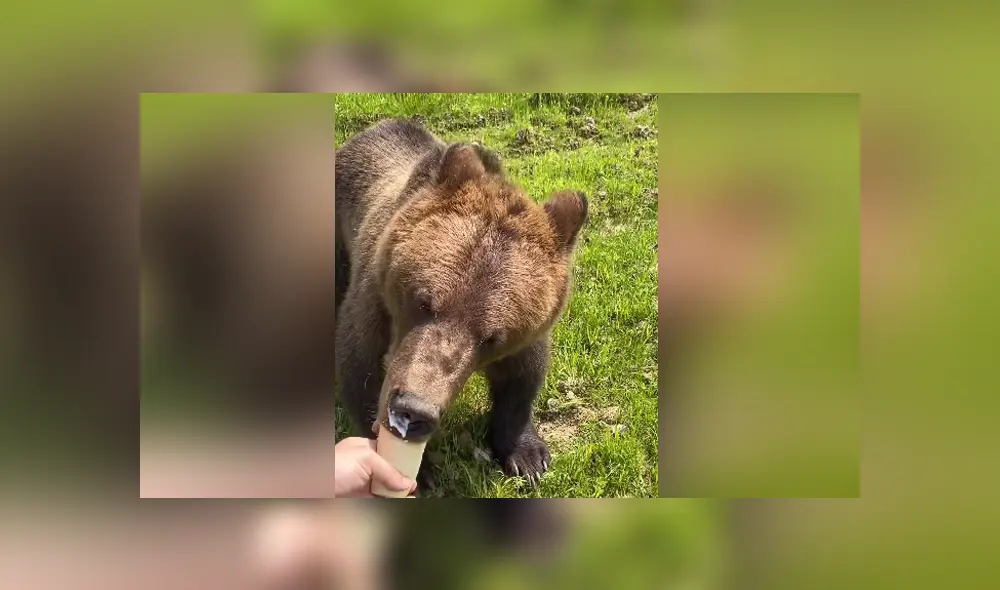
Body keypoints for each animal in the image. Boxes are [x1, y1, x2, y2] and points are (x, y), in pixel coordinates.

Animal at [335, 117, 587, 488]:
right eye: (424, 302)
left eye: (491, 337)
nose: (415, 410)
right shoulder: (374, 301)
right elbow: (360, 368)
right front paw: (418, 470)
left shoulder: (525, 335)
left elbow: (523, 377)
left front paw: (528, 457)